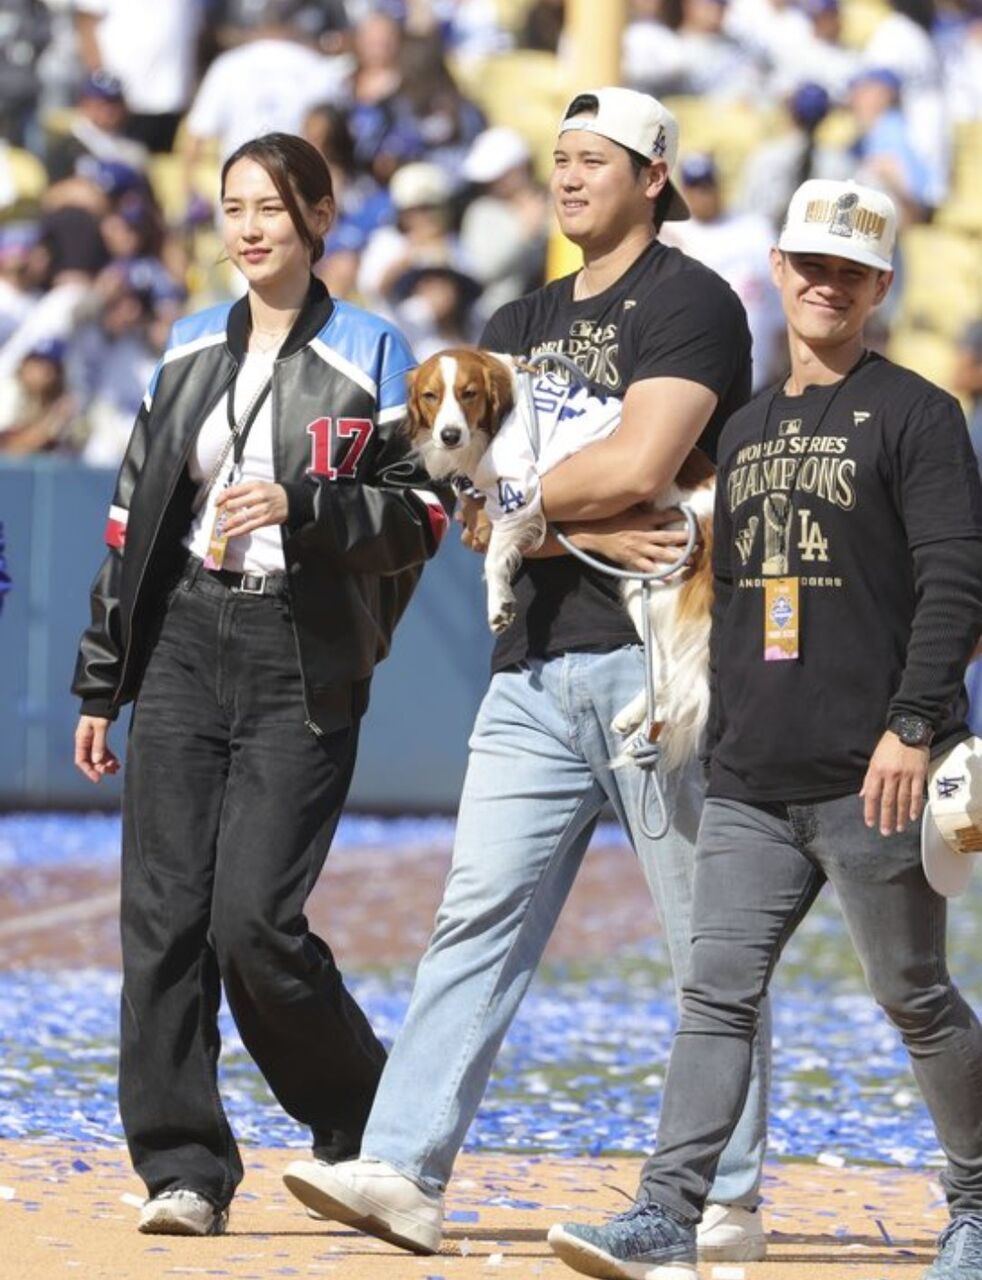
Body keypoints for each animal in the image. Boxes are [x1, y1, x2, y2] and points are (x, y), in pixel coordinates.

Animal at [405, 348, 715, 767]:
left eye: (469, 394)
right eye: (430, 396)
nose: (449, 435)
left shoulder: (518, 491)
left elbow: (495, 554)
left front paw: (499, 604)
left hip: (660, 585)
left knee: (674, 673)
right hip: (641, 587)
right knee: (665, 668)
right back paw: (635, 718)